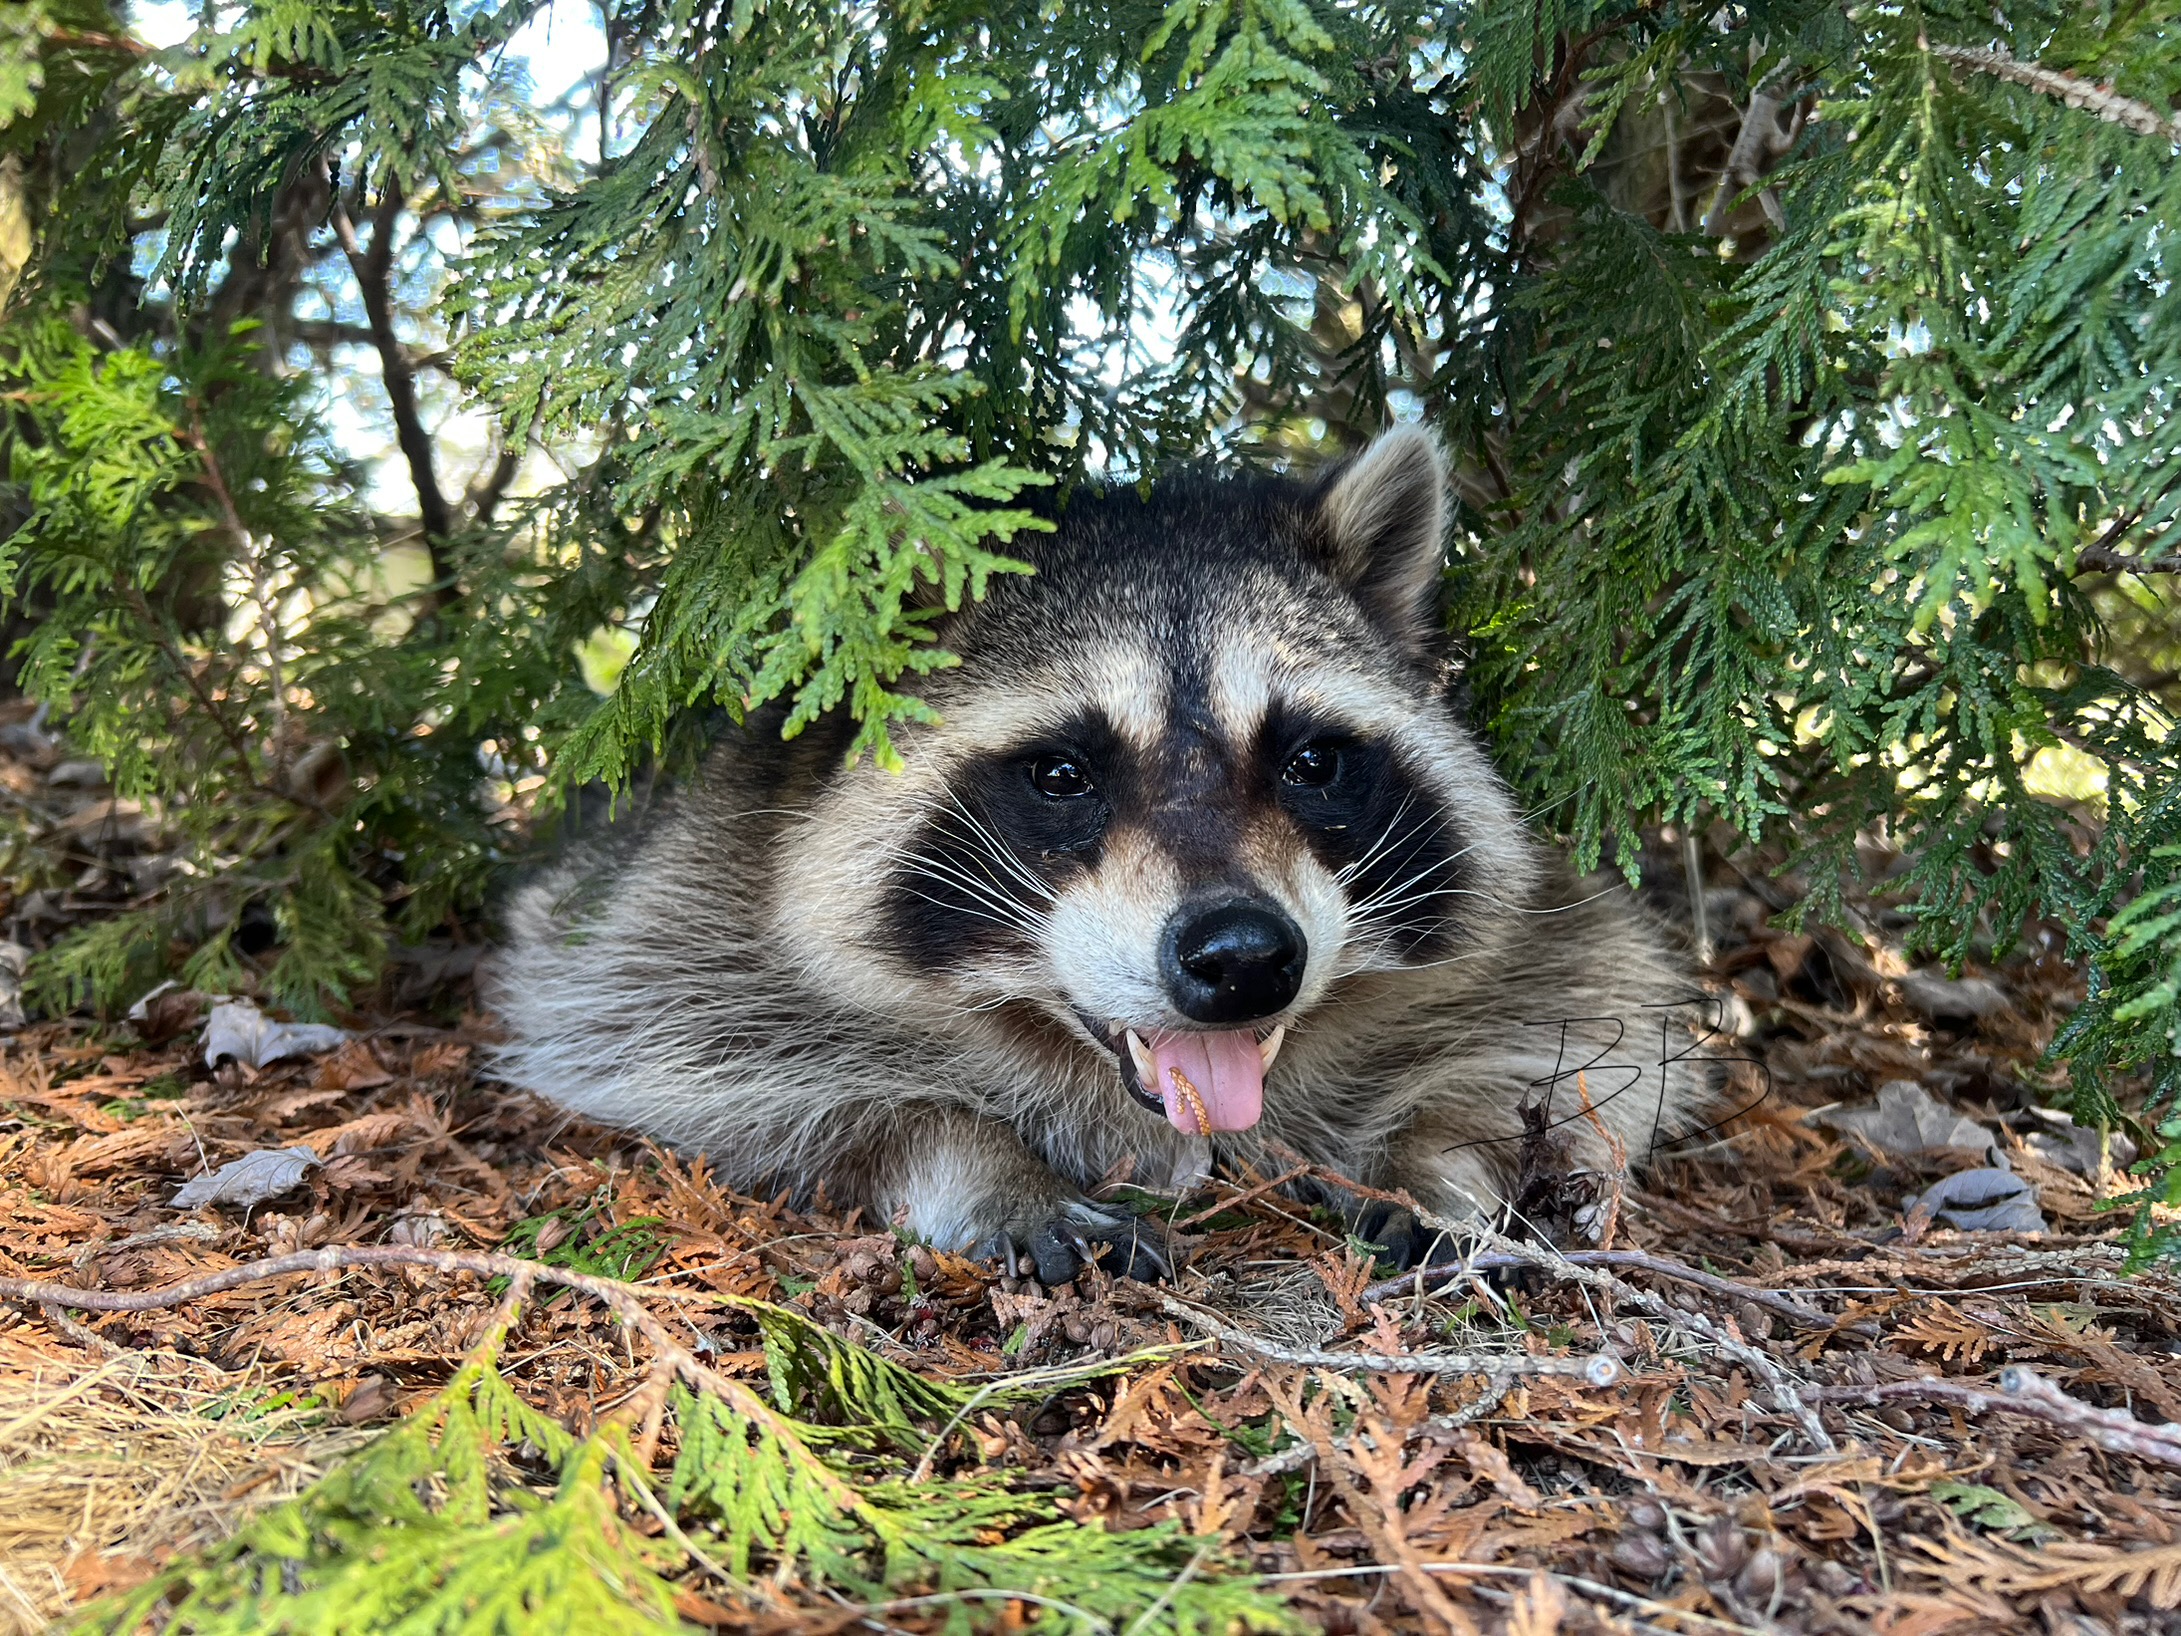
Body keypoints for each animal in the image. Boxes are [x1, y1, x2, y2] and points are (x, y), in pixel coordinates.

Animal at [491, 428, 1709, 1284]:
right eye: (1063, 775)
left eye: (1313, 762)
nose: (1242, 958)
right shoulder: (683, 899)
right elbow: (682, 1061)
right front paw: (970, 1156)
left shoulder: (1561, 936)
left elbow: (1588, 1025)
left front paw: (1439, 1158)